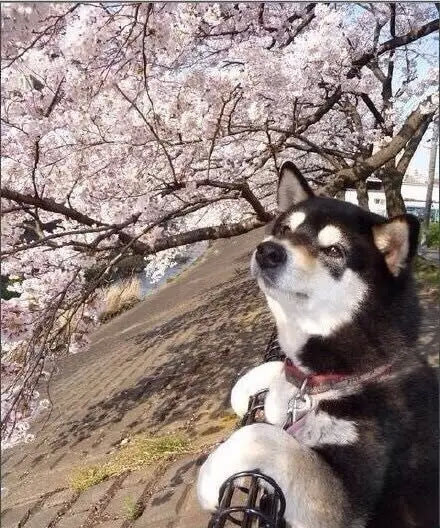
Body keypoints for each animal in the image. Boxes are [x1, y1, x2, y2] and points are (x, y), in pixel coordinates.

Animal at [198, 161, 438, 528]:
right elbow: (276, 370)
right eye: (283, 229)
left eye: (334, 251)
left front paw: (210, 479)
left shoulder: (344, 505)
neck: (340, 375)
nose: (268, 251)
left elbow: (262, 436)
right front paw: (244, 394)